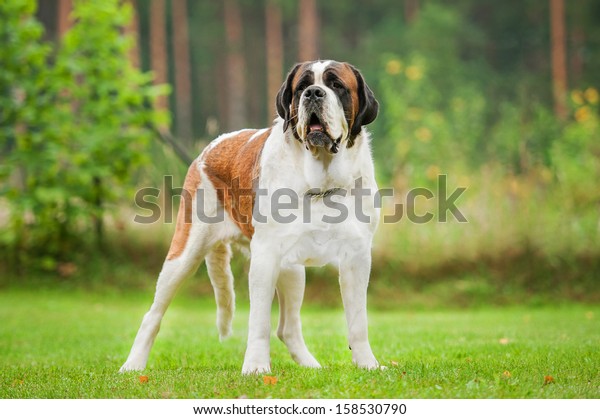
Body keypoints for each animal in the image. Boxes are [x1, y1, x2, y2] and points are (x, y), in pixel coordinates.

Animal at [120, 59, 380, 374]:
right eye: (302, 87)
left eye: (337, 85)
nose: (314, 93)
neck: (320, 178)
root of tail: (209, 148)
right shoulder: (265, 257)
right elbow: (259, 321)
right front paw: (256, 367)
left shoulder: (357, 257)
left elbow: (359, 321)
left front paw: (368, 364)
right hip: (183, 255)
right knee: (153, 314)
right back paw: (132, 365)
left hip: (292, 270)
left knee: (288, 328)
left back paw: (310, 365)